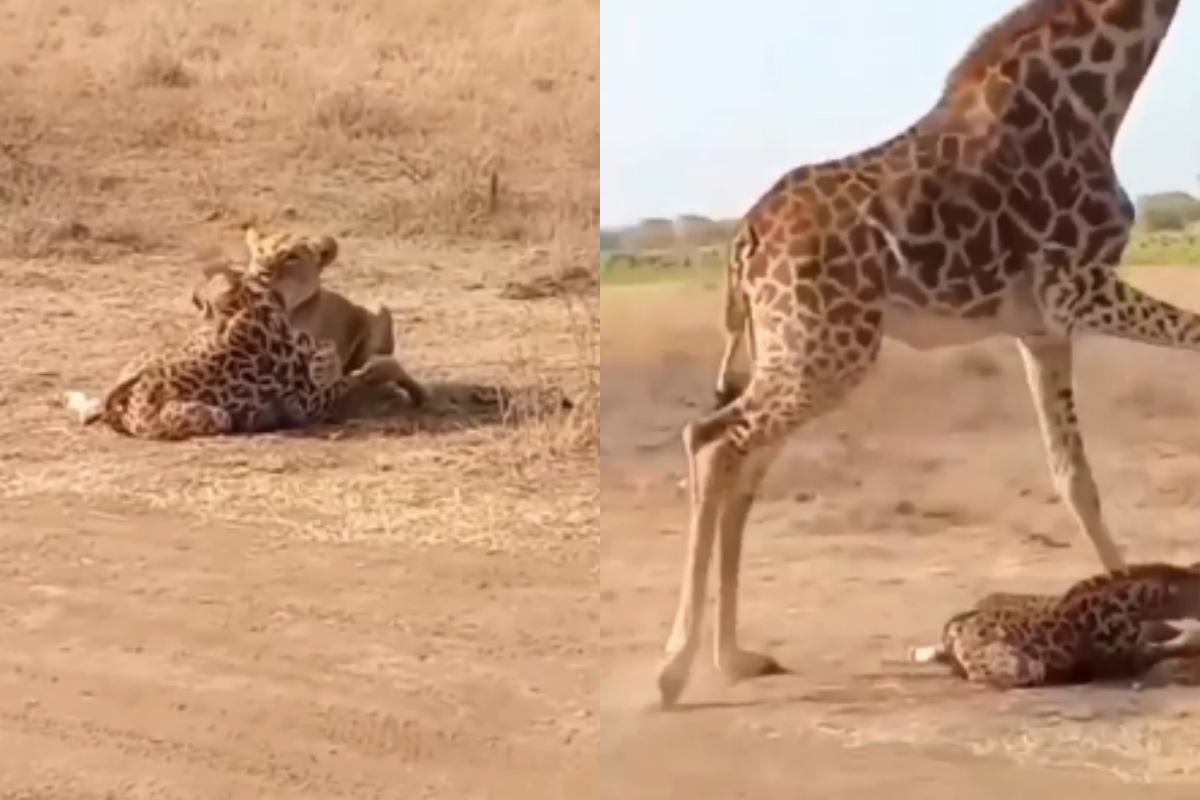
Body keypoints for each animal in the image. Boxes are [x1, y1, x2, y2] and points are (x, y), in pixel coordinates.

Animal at [657, 0, 1191, 709]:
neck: (1096, 95)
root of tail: (746, 240)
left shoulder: (1042, 326)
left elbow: (1074, 477)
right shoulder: (1077, 285)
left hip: (796, 352)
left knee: (739, 461)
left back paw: (733, 656)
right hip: (826, 354)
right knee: (713, 441)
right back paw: (675, 668)